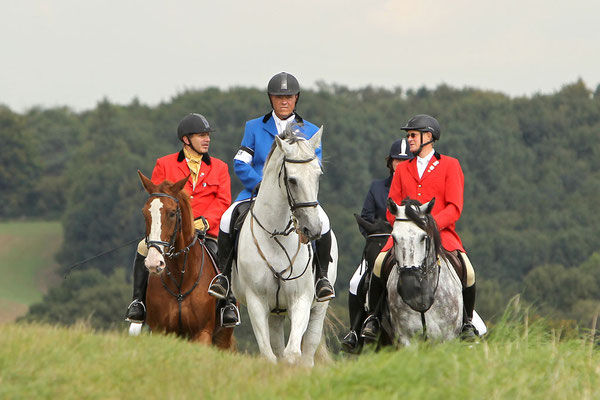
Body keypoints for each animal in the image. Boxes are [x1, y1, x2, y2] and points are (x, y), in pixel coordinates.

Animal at [136, 172, 234, 350]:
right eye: (145, 213)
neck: (181, 278)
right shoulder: (161, 331)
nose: (154, 263)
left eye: (172, 213)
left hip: (223, 336)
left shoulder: (202, 333)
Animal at [232, 126, 338, 366]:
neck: (276, 235)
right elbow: (269, 355)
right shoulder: (256, 302)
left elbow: (292, 354)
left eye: (317, 175)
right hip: (275, 313)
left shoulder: (301, 300)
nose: (313, 229)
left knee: (308, 351)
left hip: (319, 307)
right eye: (292, 180)